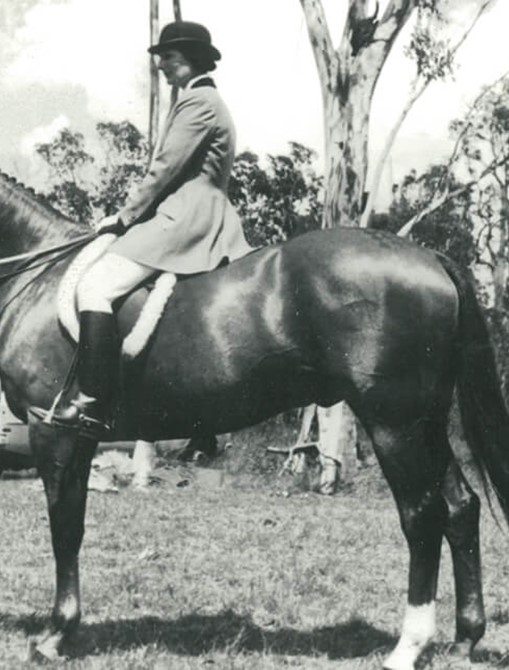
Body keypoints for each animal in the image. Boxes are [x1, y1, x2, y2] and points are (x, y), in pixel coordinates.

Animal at [0, 170, 508, 670]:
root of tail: (430, 257)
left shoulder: (53, 432)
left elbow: (65, 529)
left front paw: (55, 635)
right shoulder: (78, 439)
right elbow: (72, 524)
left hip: (394, 424)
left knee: (423, 515)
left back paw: (409, 647)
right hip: (425, 423)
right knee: (462, 508)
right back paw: (464, 640)